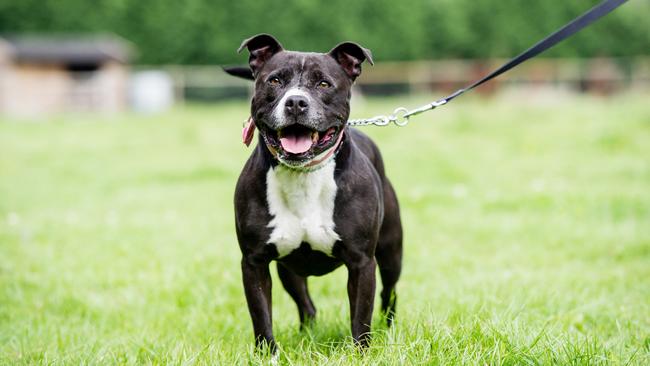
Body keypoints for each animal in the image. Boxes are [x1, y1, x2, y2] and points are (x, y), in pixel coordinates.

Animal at [228, 34, 400, 352]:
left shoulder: (362, 262)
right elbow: (261, 315)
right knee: (306, 304)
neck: (302, 175)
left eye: (323, 84)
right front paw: (267, 354)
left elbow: (361, 316)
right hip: (289, 269)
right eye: (275, 81)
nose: (296, 102)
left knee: (389, 293)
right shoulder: (255, 262)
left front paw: (361, 352)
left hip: (391, 253)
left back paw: (389, 327)